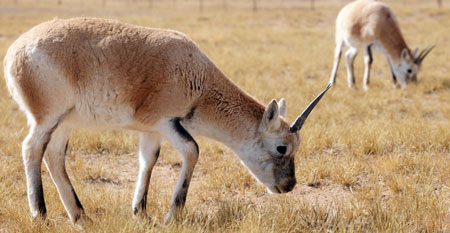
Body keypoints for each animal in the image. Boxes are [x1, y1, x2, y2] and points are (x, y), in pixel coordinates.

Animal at [2, 17, 330, 225]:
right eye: (281, 148)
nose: (288, 185)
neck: (198, 78)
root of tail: (15, 51)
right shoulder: (166, 122)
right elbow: (192, 151)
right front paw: (172, 215)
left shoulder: (152, 131)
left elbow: (149, 160)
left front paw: (141, 213)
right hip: (47, 118)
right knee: (31, 149)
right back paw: (41, 216)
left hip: (65, 122)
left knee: (54, 156)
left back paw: (81, 217)